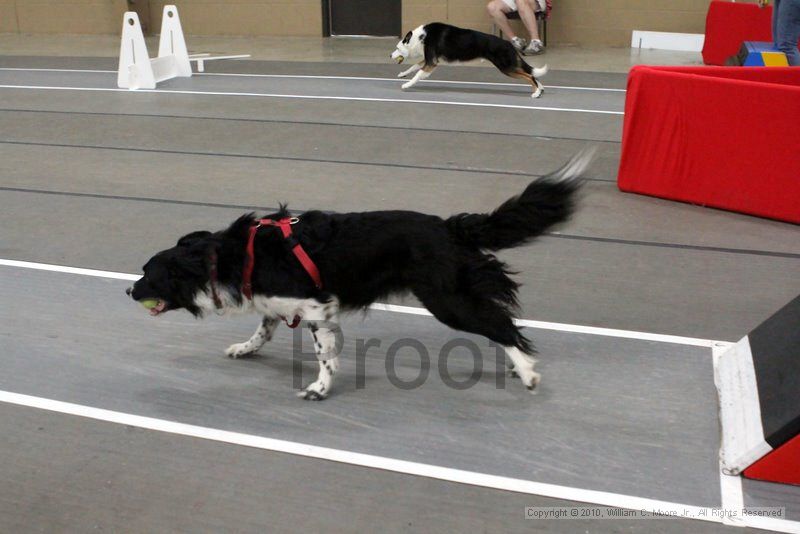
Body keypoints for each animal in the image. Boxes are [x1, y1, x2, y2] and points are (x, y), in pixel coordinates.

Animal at [126, 149, 592, 400]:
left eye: (149, 273)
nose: (129, 291)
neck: (228, 255)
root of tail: (448, 226)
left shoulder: (316, 306)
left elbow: (323, 354)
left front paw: (319, 388)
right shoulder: (281, 304)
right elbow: (264, 329)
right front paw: (245, 348)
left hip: (447, 300)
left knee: (501, 325)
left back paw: (527, 372)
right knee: (502, 319)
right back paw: (518, 366)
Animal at [390, 22, 552, 98]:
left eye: (397, 48)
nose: (390, 55)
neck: (420, 38)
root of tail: (509, 43)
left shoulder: (431, 62)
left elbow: (417, 74)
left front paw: (407, 85)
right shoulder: (429, 60)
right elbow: (413, 67)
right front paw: (402, 74)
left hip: (506, 67)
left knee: (529, 76)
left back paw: (536, 93)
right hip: (510, 65)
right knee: (531, 75)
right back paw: (540, 89)